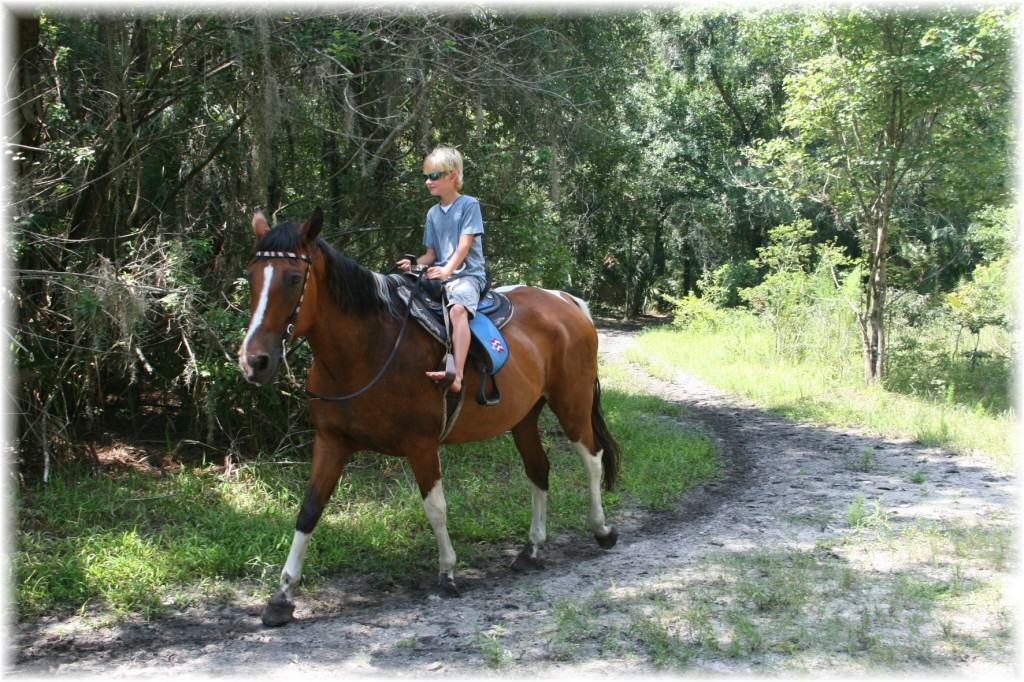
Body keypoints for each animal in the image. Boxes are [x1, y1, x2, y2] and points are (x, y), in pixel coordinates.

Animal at [238, 208, 618, 626]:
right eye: (252, 276)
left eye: (293, 278)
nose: (254, 361)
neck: (369, 347)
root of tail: (566, 301)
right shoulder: (330, 441)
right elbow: (309, 510)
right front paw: (282, 596)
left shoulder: (420, 443)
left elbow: (435, 508)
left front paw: (447, 573)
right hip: (524, 418)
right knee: (539, 469)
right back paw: (532, 548)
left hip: (572, 402)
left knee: (592, 459)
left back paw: (602, 529)